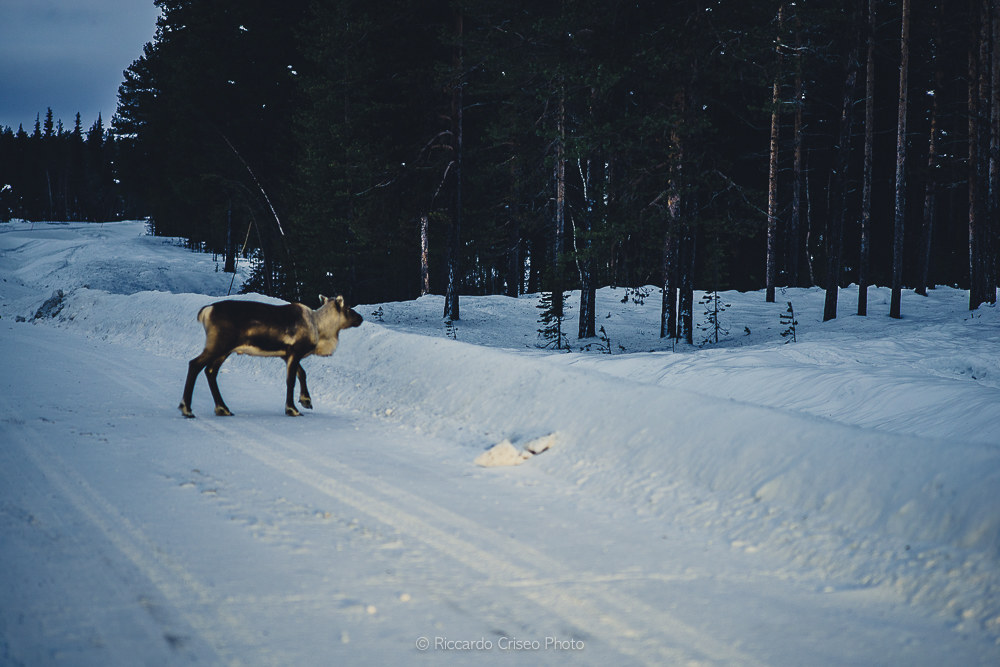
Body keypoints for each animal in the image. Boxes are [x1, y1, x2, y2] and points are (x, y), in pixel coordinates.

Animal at [179, 295, 363, 418]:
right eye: (348, 308)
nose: (360, 318)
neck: (320, 329)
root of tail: (206, 311)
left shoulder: (286, 355)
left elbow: (302, 373)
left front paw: (306, 400)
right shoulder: (295, 351)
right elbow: (291, 380)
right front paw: (292, 409)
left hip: (224, 350)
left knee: (210, 371)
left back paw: (222, 408)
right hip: (219, 345)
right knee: (195, 364)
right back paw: (187, 409)